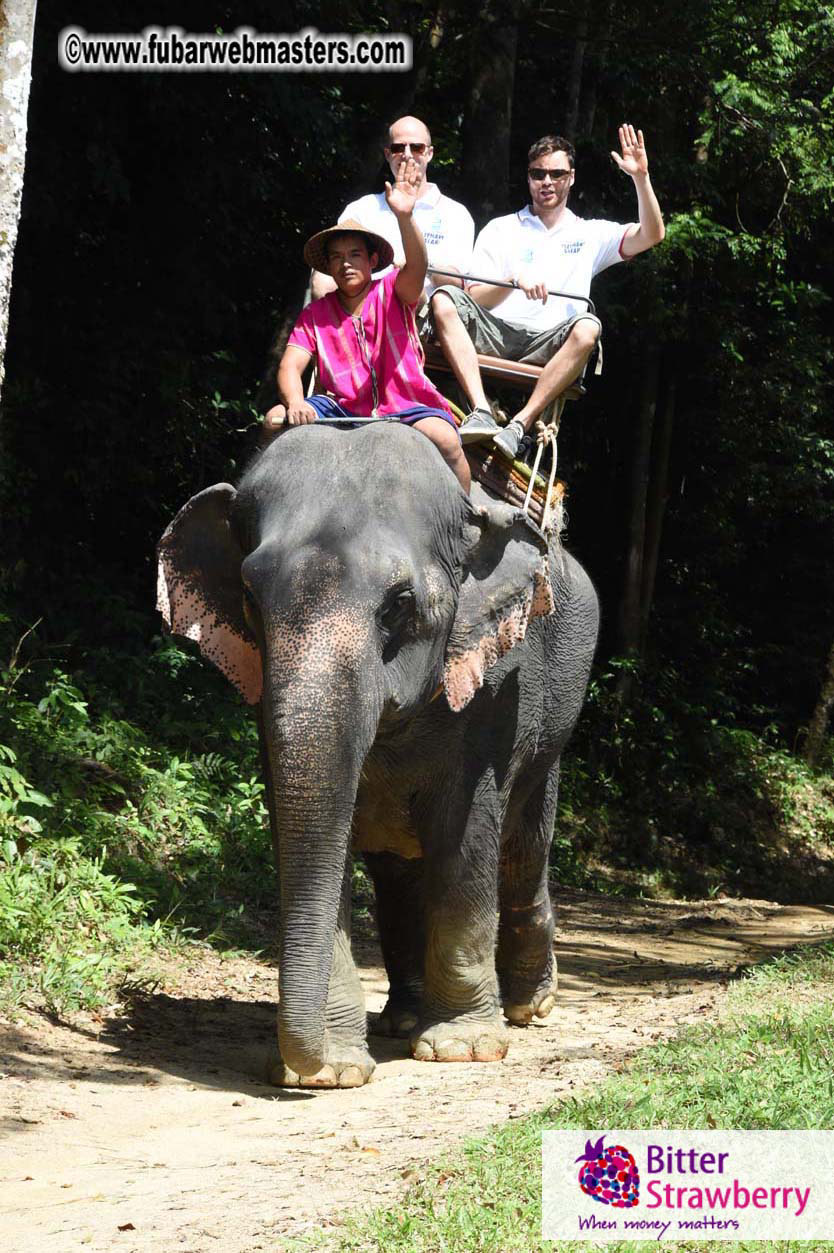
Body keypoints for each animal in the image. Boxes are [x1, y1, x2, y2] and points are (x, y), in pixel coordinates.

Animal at [157, 420, 599, 1088]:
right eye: (250, 599)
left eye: (398, 603)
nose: (306, 1063)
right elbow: (310, 833)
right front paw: (329, 1074)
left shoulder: (495, 687)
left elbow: (465, 837)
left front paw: (462, 1050)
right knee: (398, 875)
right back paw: (402, 1020)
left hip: (554, 721)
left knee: (524, 847)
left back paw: (530, 1007)